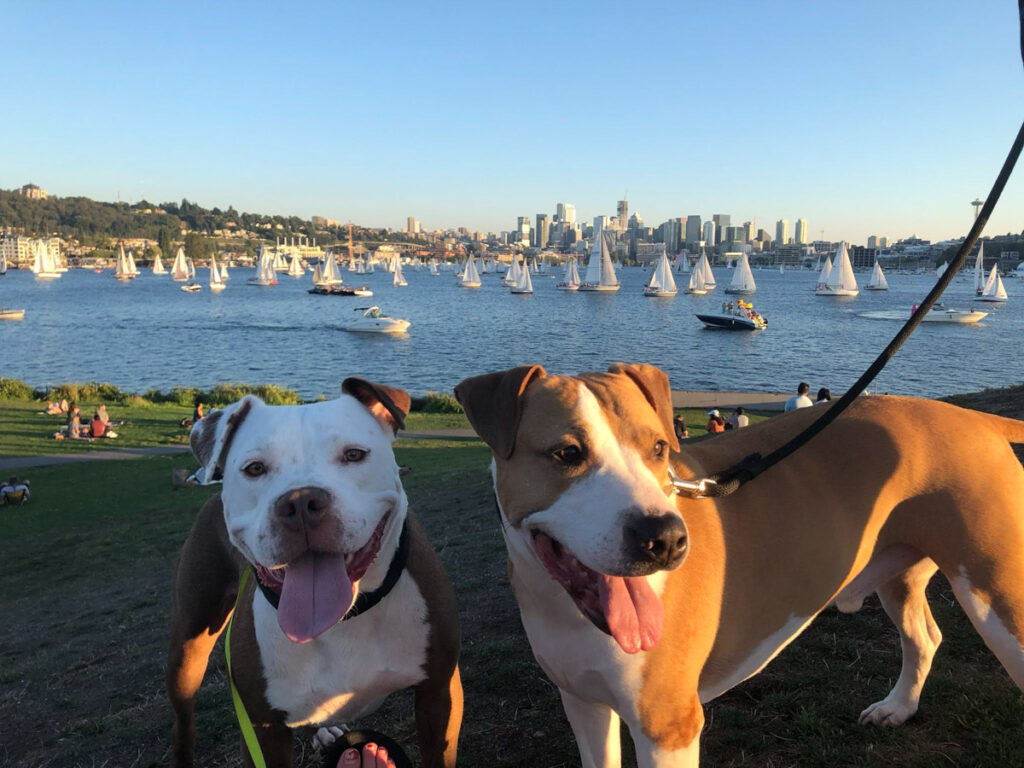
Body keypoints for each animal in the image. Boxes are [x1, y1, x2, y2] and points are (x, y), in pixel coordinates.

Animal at [166, 378, 460, 768]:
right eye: (255, 468)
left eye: (353, 455)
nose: (301, 501)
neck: (344, 619)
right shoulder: (262, 729)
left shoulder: (439, 693)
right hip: (189, 650)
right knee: (183, 721)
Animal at [456, 364, 1024, 768]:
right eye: (567, 453)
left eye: (658, 448)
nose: (666, 539)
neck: (564, 607)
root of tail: (970, 417)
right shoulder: (583, 703)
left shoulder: (668, 727)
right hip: (900, 571)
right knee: (924, 635)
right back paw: (898, 707)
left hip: (997, 597)